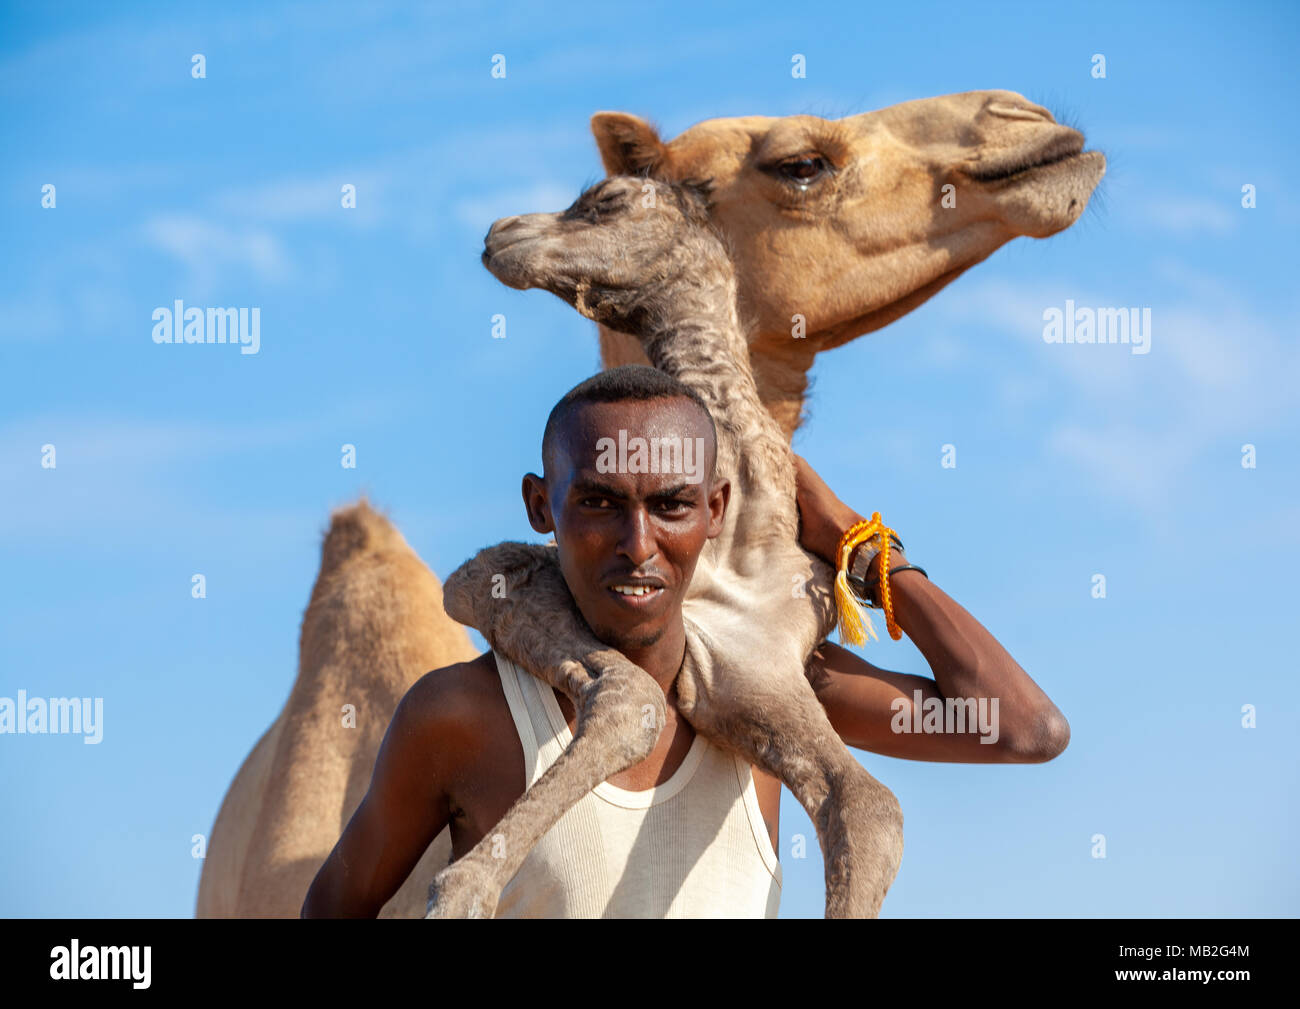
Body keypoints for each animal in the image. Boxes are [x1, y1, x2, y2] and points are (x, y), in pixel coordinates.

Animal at [426, 176, 904, 920]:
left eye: (607, 199)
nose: (502, 232)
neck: (745, 532)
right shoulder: (498, 572)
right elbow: (634, 697)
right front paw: (462, 888)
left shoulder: (761, 663)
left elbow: (870, 805)